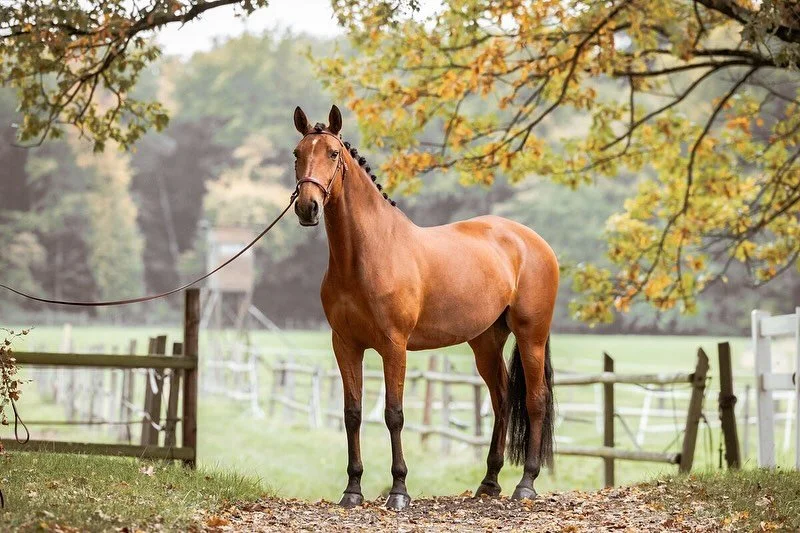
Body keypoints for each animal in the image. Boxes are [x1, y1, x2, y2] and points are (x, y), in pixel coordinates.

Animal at [291, 105, 559, 510]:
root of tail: (533, 240)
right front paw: (352, 490)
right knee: (500, 401)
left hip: (532, 336)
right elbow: (352, 414)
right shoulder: (346, 345)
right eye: (297, 154)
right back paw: (489, 482)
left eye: (333, 154)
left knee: (534, 400)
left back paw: (525, 484)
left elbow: (394, 414)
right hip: (486, 342)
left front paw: (399, 490)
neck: (365, 255)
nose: (307, 207)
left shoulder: (394, 346)